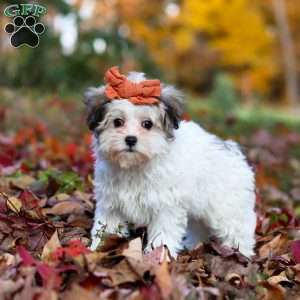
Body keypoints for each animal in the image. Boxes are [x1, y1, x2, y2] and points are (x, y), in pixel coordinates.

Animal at [84, 68, 255, 258]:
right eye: (117, 122)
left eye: (147, 124)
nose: (130, 139)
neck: (136, 165)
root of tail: (232, 150)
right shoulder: (111, 203)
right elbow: (106, 226)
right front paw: (97, 248)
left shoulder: (165, 205)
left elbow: (162, 233)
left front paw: (158, 255)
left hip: (227, 207)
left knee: (237, 228)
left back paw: (241, 254)